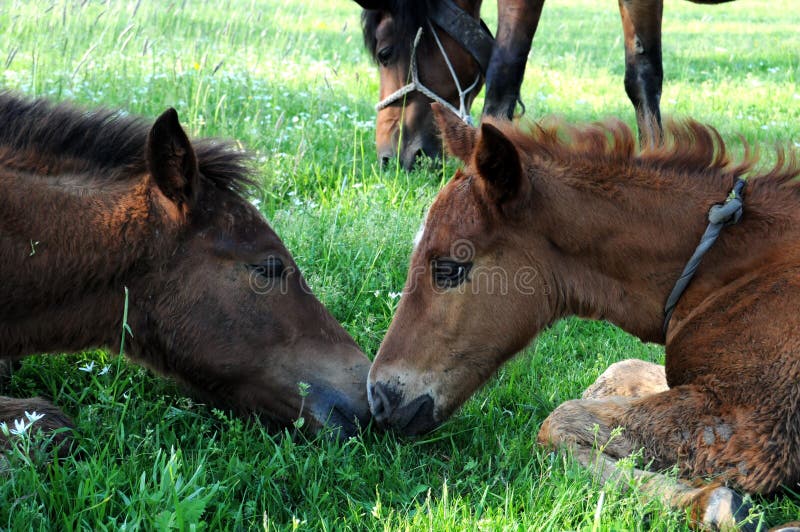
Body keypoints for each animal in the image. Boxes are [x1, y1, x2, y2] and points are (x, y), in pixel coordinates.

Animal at [367, 103, 800, 528]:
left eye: (448, 268)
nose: (378, 399)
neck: (721, 267)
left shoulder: (749, 422)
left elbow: (558, 421)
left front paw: (710, 502)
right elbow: (619, 370)